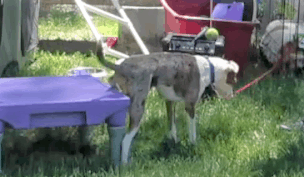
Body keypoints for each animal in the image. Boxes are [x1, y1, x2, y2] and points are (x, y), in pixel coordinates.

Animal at [96, 39, 239, 164]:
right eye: (233, 81)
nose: (232, 96)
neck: (209, 67)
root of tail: (119, 66)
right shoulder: (190, 106)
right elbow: (192, 129)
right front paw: (193, 144)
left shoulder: (169, 102)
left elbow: (172, 126)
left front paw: (174, 142)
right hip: (138, 108)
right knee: (125, 140)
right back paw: (125, 164)